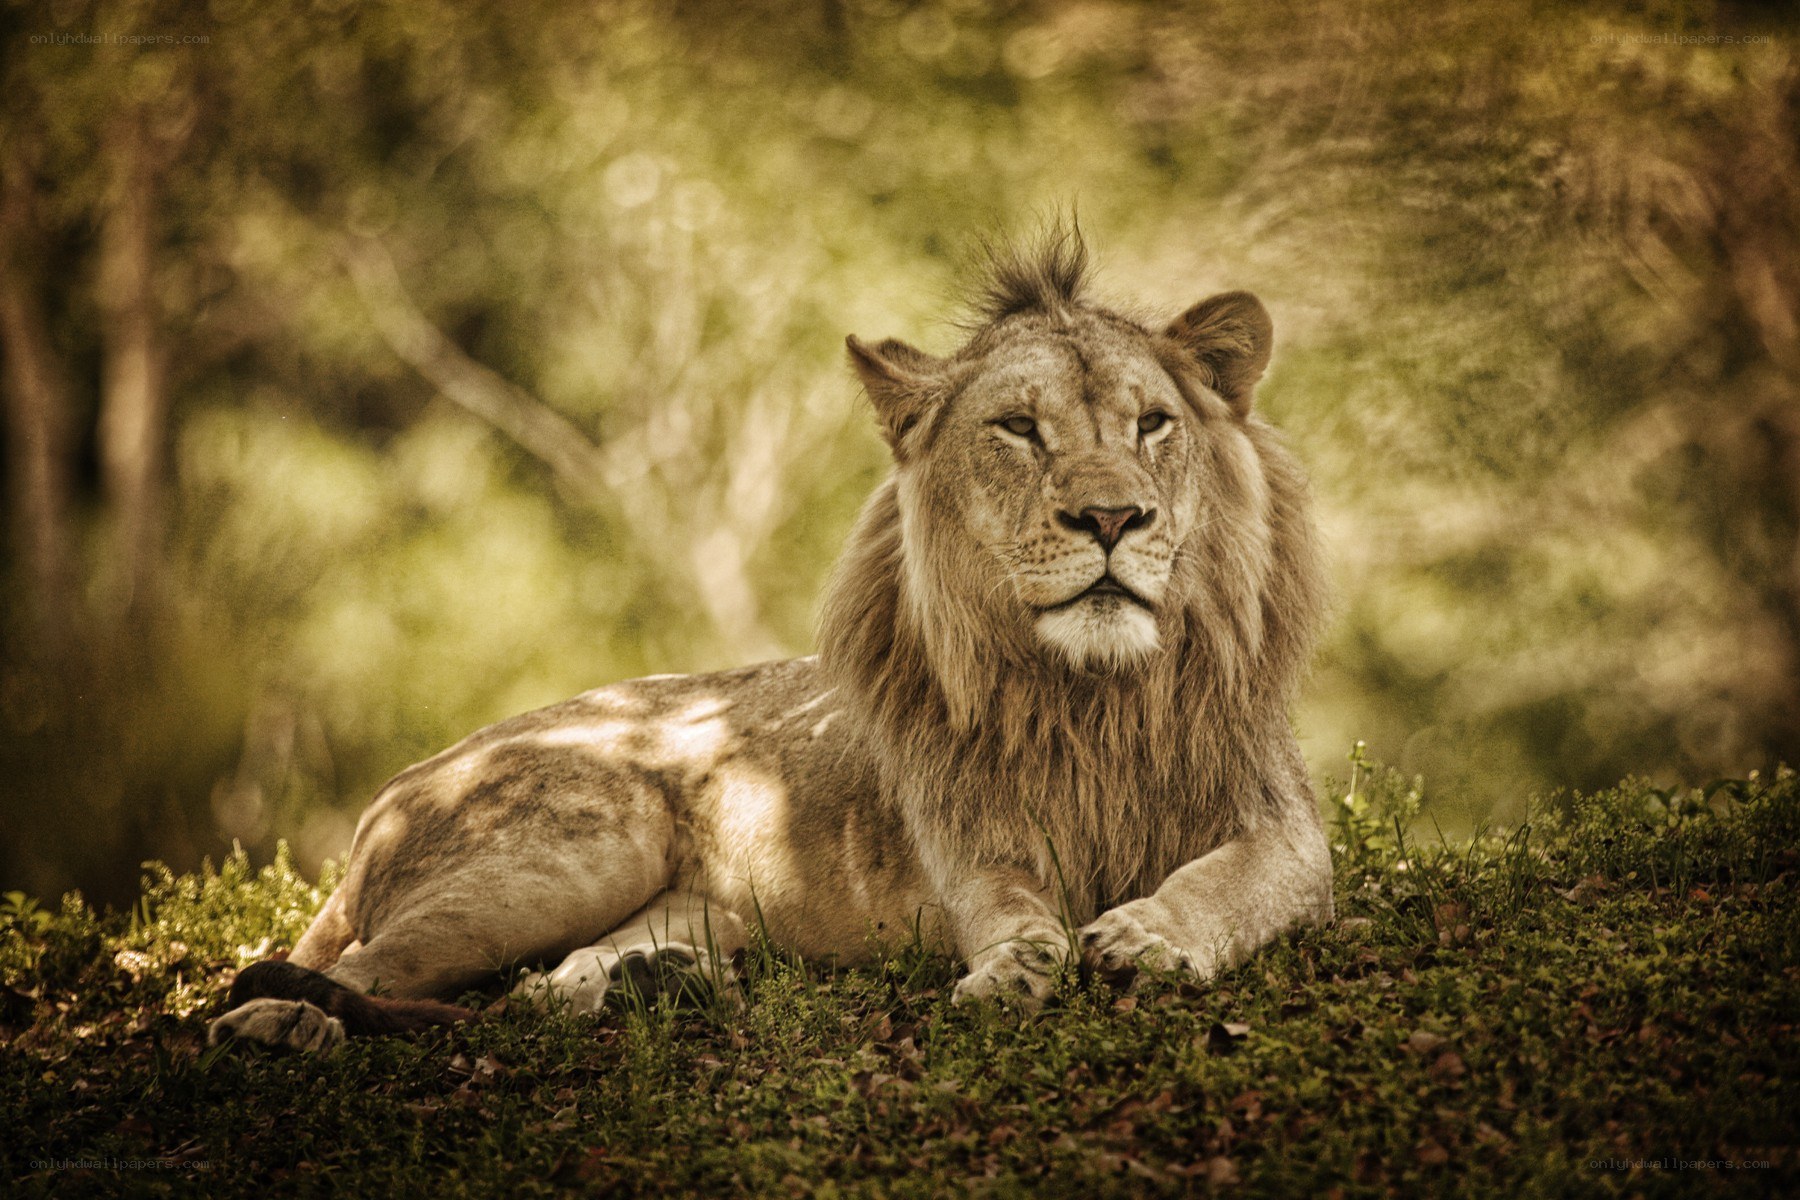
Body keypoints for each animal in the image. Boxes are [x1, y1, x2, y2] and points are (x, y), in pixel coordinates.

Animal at [208, 229, 1332, 1051]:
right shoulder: (969, 837)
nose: (1111, 518)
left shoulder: (1284, 825)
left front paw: (1149, 935)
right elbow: (1011, 909)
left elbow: (1233, 882)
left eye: (1151, 424)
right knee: (345, 969)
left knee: (533, 991)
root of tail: (394, 791)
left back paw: (653, 984)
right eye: (1018, 428)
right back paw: (279, 1024)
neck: (1097, 691)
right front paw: (1019, 964)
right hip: (578, 846)